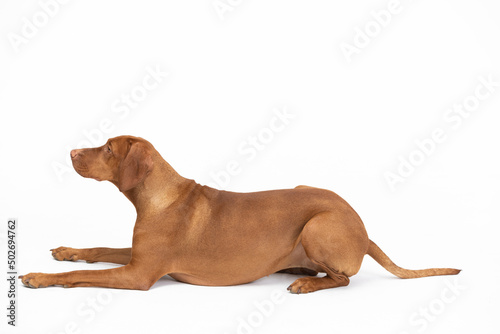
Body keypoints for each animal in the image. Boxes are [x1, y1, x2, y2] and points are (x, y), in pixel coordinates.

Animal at [20, 136, 460, 292]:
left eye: (108, 149)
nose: (71, 151)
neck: (158, 196)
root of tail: (363, 229)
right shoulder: (137, 257)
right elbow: (96, 250)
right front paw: (66, 252)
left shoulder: (140, 274)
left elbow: (80, 276)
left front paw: (41, 277)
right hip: (303, 191)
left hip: (319, 225)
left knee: (343, 279)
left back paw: (305, 283)